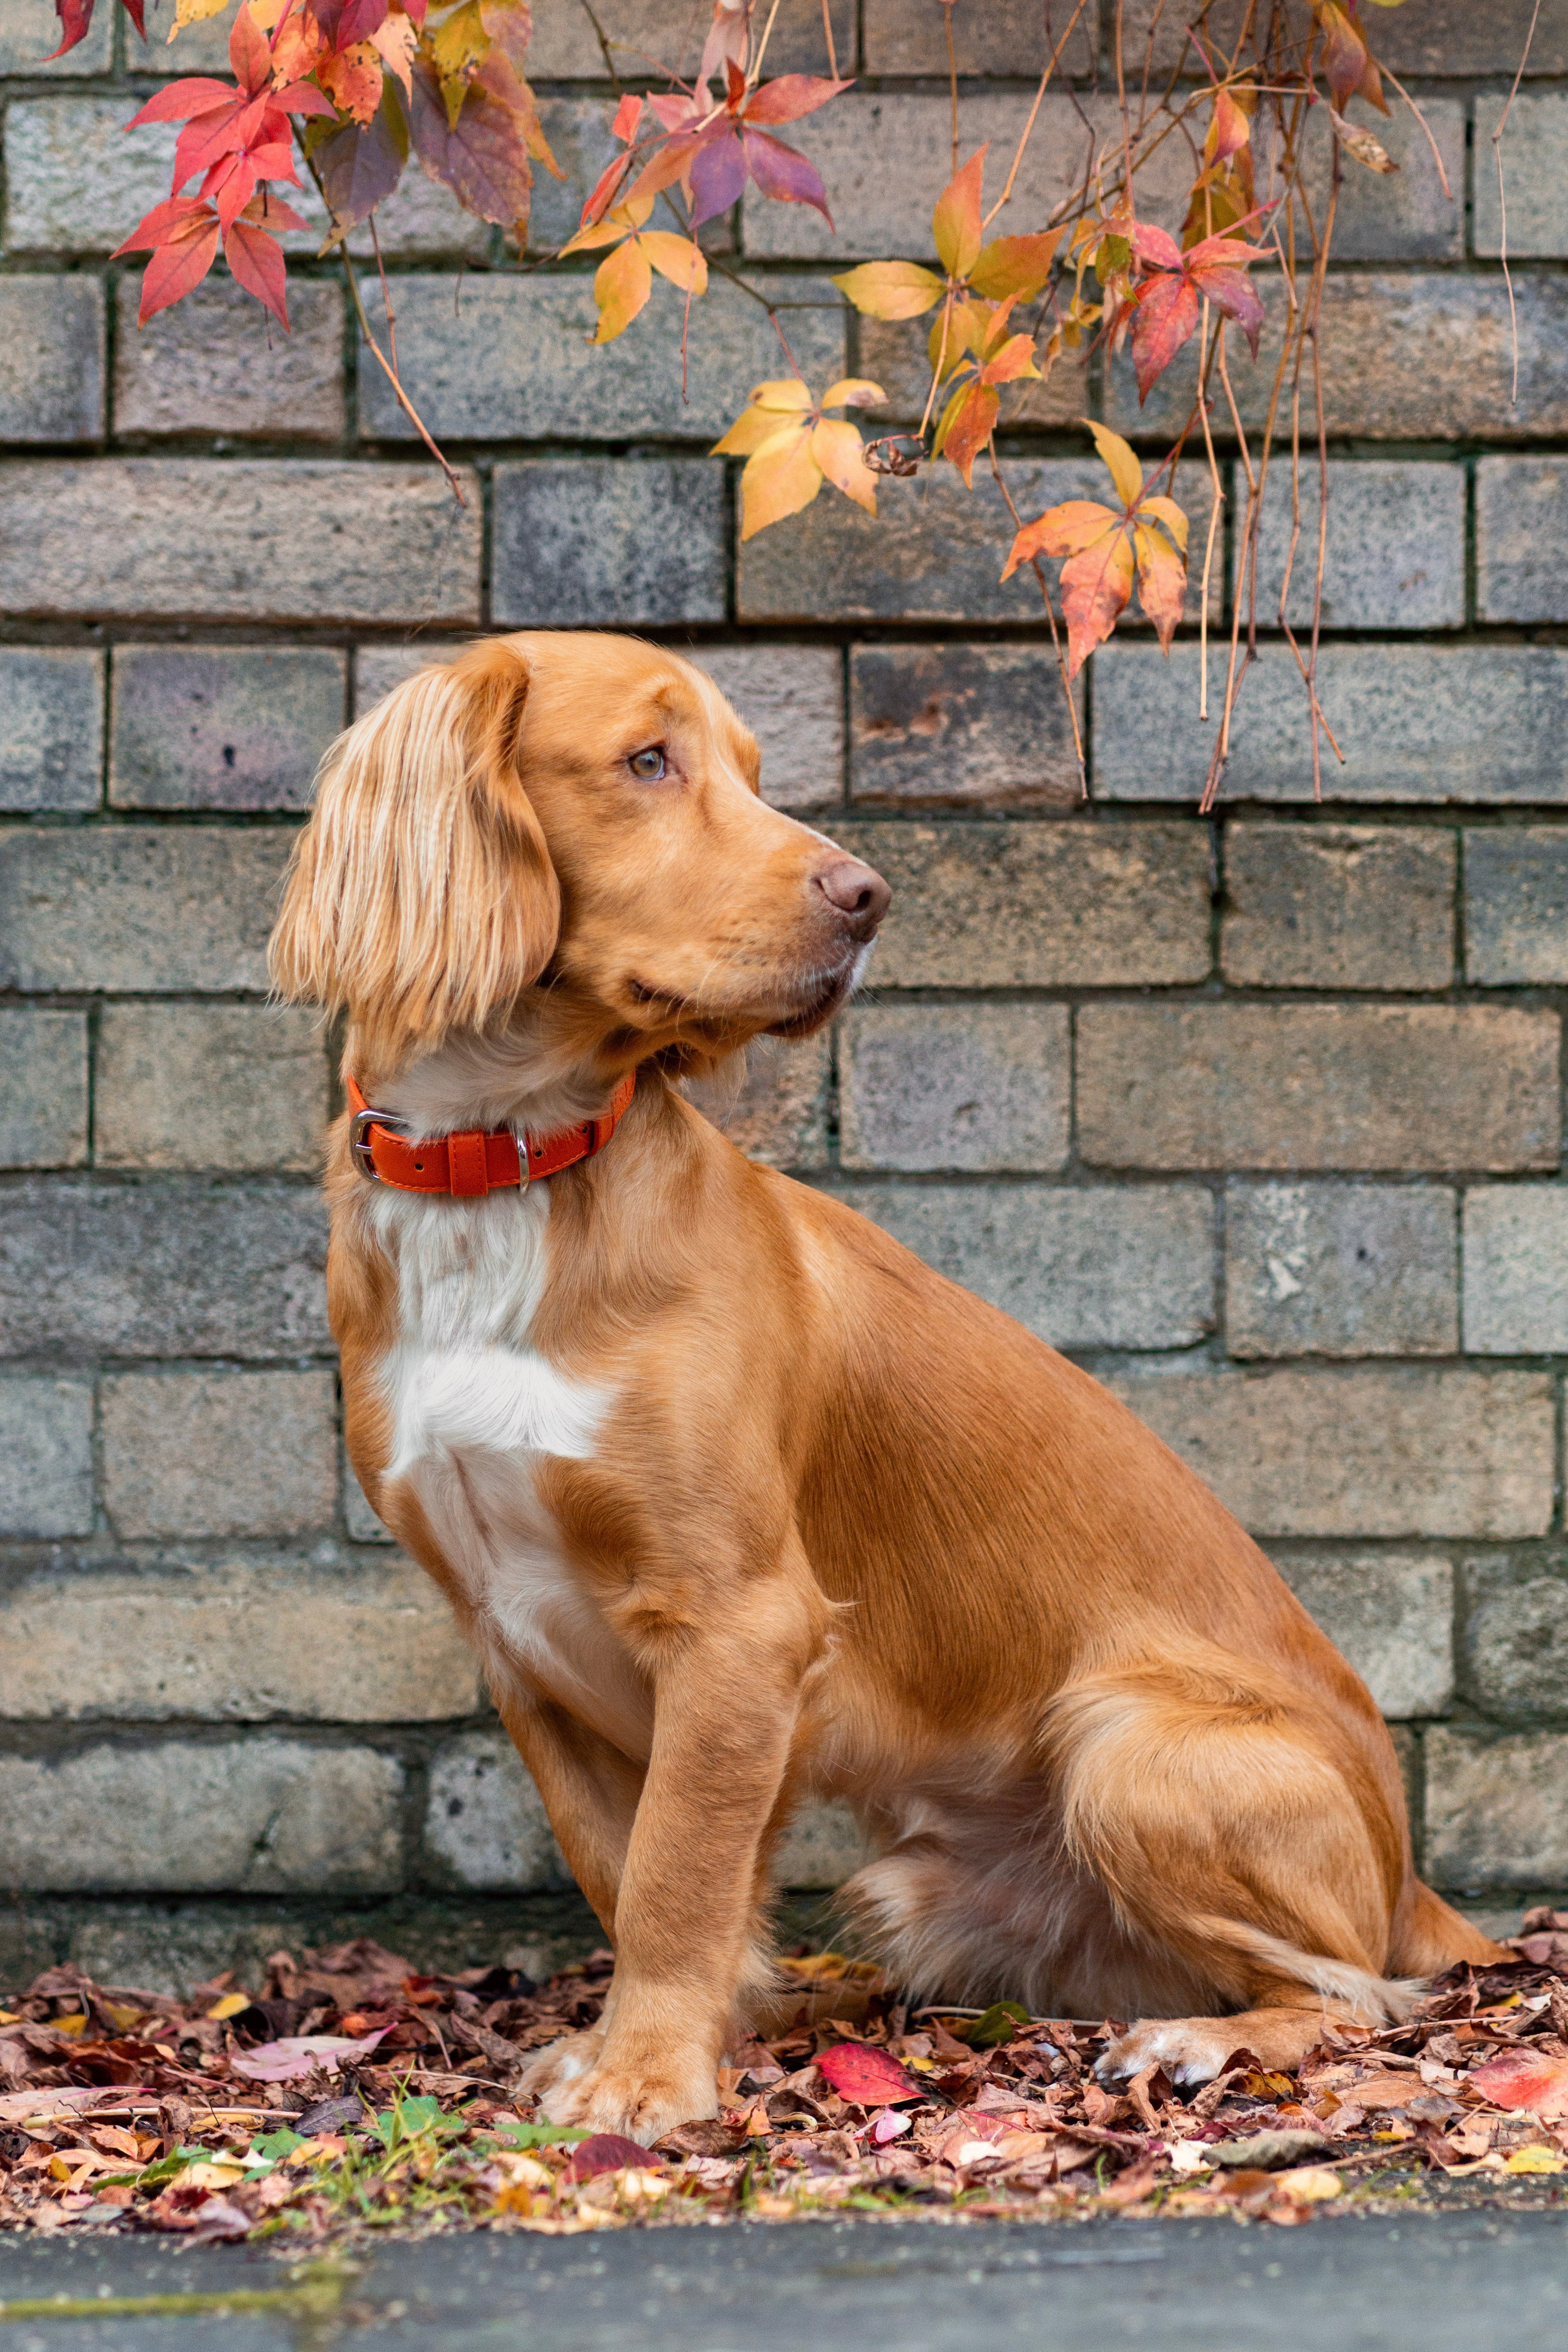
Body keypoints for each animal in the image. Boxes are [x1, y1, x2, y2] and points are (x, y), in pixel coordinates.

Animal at [272, 635, 1504, 2145]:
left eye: (751, 769)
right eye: (648, 760)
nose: (868, 898)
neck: (505, 1163)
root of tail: (1405, 1868)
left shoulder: (741, 1621)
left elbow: (675, 1870)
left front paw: (647, 2075)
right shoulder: (518, 1645)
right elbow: (625, 1863)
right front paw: (667, 2038)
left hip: (1130, 1742)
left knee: (1359, 1991)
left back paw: (1199, 2041)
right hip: (926, 1883)